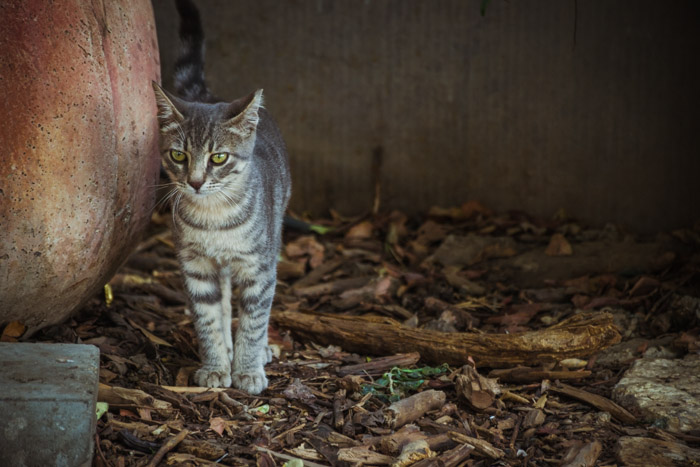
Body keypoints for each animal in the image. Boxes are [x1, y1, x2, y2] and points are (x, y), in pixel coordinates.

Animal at [150, 0, 290, 394]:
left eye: (218, 158)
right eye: (178, 155)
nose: (196, 182)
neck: (214, 217)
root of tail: (209, 97)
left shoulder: (259, 267)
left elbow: (254, 320)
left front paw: (248, 368)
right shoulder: (195, 265)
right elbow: (208, 317)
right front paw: (215, 365)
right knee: (226, 300)